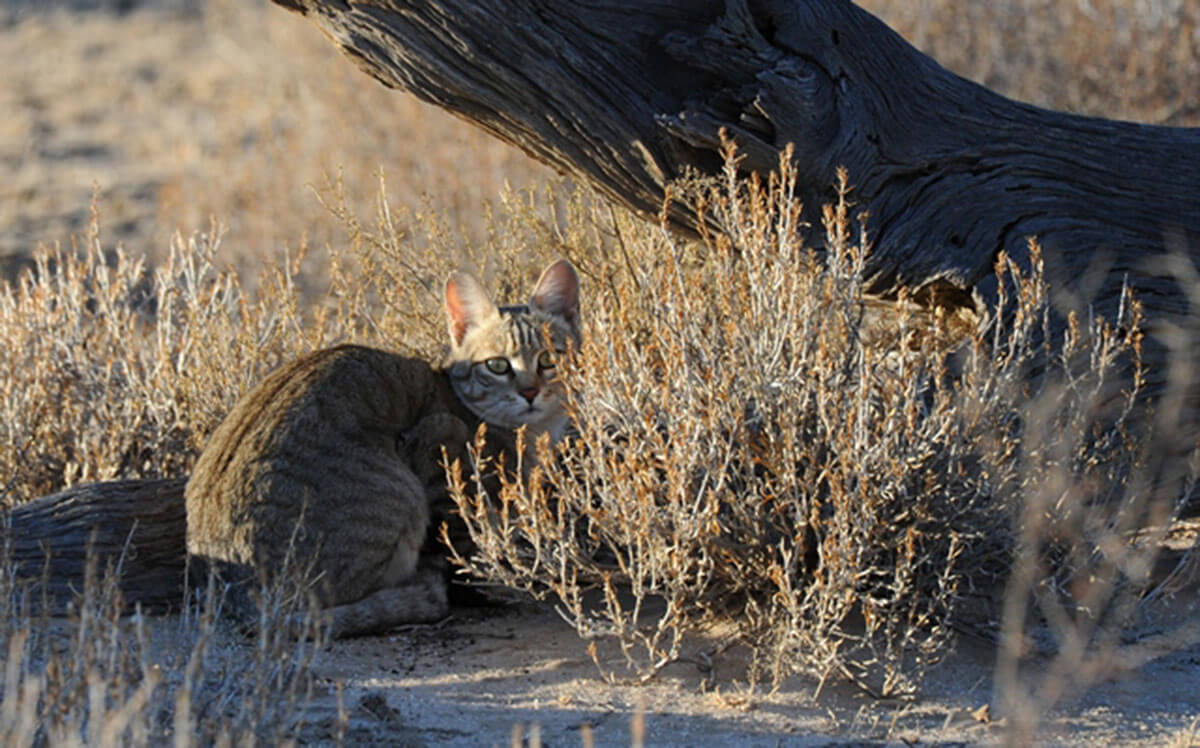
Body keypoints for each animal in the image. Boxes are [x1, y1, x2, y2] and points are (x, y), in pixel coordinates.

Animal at [183, 259, 580, 638]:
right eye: (497, 365)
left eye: (549, 358)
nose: (529, 392)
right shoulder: (439, 440)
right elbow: (462, 543)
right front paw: (492, 584)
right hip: (400, 492)